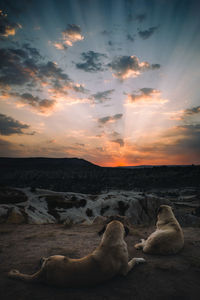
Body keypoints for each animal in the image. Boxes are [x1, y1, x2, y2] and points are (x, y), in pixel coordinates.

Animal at [8, 220, 145, 286]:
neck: (111, 240)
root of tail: (43, 273)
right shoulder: (125, 270)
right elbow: (132, 260)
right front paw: (140, 259)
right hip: (60, 256)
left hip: (55, 257)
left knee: (44, 260)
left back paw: (42, 259)